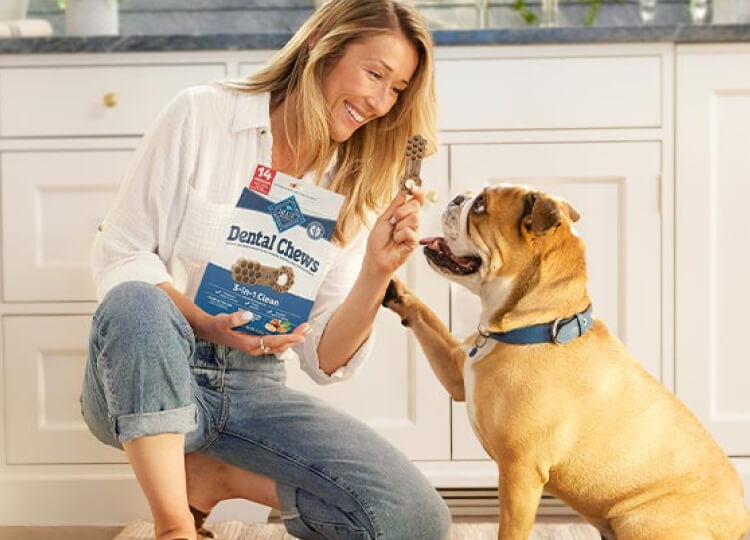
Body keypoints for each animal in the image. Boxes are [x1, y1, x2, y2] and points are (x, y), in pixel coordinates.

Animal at [384, 186, 748, 540]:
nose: (458, 198)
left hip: (639, 521)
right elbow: (427, 317)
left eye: (481, 206)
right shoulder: (456, 373)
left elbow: (510, 531)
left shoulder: (520, 473)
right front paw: (394, 288)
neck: (535, 324)